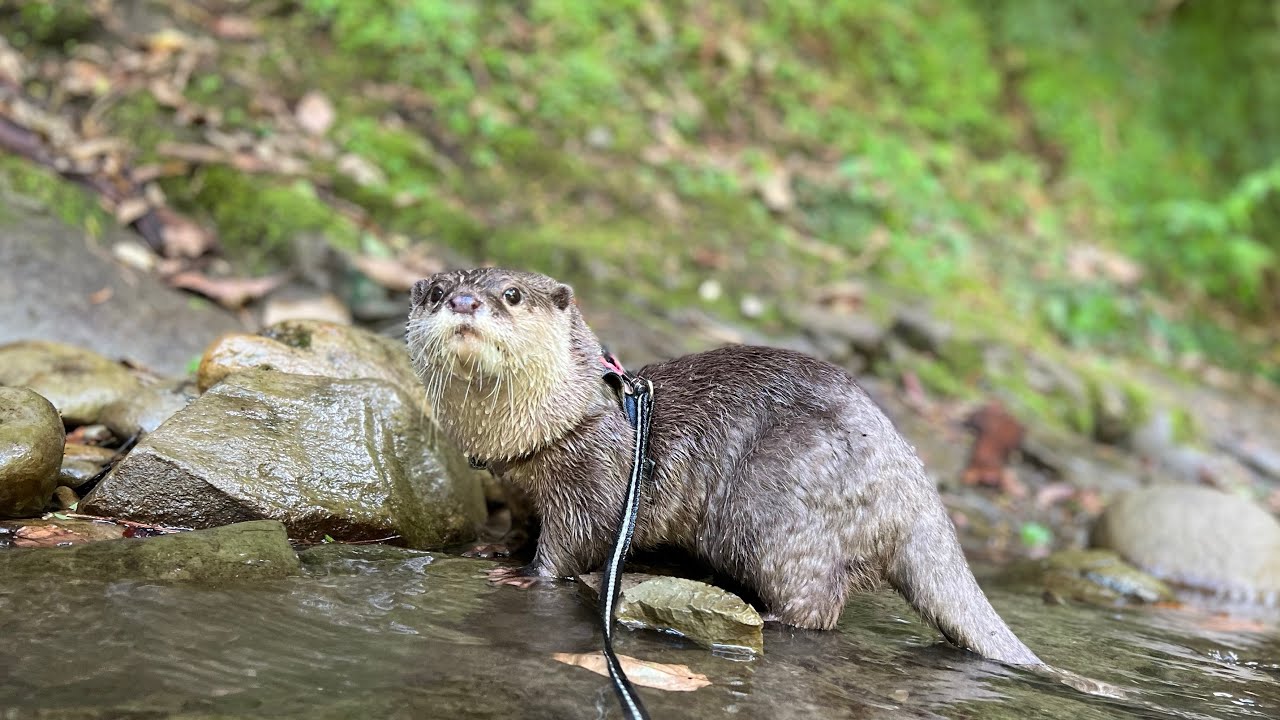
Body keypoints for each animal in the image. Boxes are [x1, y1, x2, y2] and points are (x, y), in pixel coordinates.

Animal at [406, 268, 1041, 666]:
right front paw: (495, 548)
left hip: (776, 512)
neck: (553, 423)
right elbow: (520, 524)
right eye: (436, 291)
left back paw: (766, 616)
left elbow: (574, 537)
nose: (464, 303)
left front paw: (530, 574)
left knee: (816, 603)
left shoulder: (594, 472)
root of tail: (909, 478)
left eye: (512, 294)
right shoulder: (514, 482)